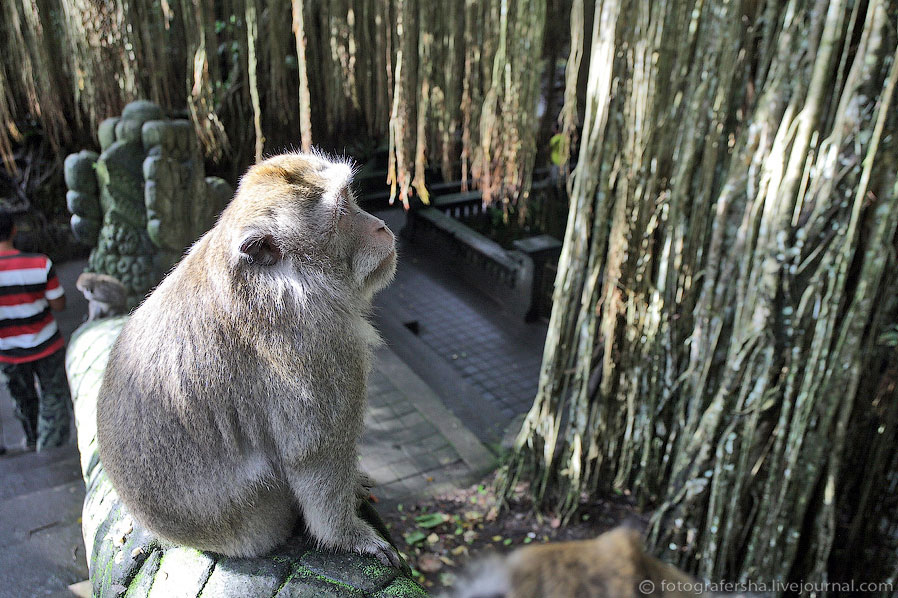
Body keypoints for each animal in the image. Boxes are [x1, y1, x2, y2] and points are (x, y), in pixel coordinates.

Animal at [95, 152, 400, 564]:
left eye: (352, 200)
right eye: (343, 211)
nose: (380, 226)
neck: (282, 281)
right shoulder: (320, 344)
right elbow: (314, 455)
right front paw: (348, 537)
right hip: (253, 519)